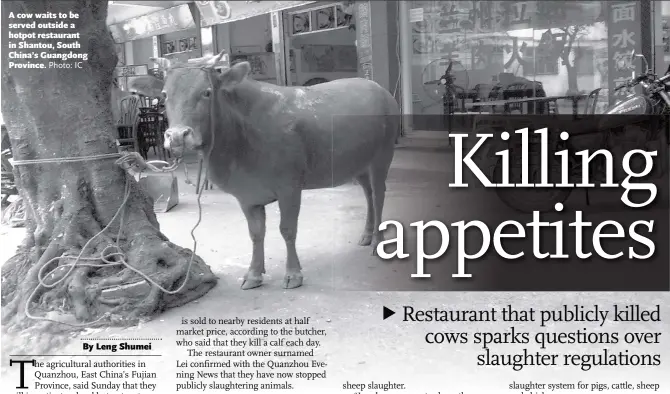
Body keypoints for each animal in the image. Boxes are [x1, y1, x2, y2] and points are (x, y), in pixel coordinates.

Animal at [152, 52, 400, 290]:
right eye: (164, 95)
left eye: (207, 92)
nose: (177, 136)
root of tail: (379, 89)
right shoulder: (247, 196)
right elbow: (255, 233)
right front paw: (254, 274)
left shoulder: (289, 187)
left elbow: (287, 230)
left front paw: (293, 274)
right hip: (359, 163)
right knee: (368, 194)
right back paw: (367, 234)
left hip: (382, 156)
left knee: (378, 195)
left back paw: (377, 241)